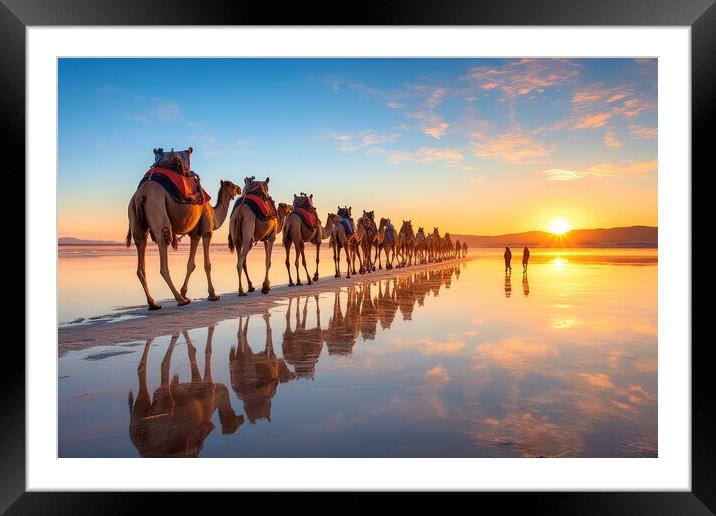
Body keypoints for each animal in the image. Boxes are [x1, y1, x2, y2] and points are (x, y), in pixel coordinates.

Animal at [127, 147, 242, 308]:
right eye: (230, 184)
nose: (239, 188)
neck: (213, 213)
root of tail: (141, 195)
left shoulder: (195, 234)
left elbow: (190, 265)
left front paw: (185, 293)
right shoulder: (206, 231)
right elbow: (207, 264)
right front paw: (212, 295)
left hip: (136, 220)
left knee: (140, 262)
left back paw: (153, 303)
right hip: (157, 208)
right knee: (163, 261)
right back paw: (179, 300)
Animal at [127, 328, 242, 458]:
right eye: (235, 424)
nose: (242, 418)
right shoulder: (204, 390)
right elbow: (205, 348)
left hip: (140, 413)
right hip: (162, 419)